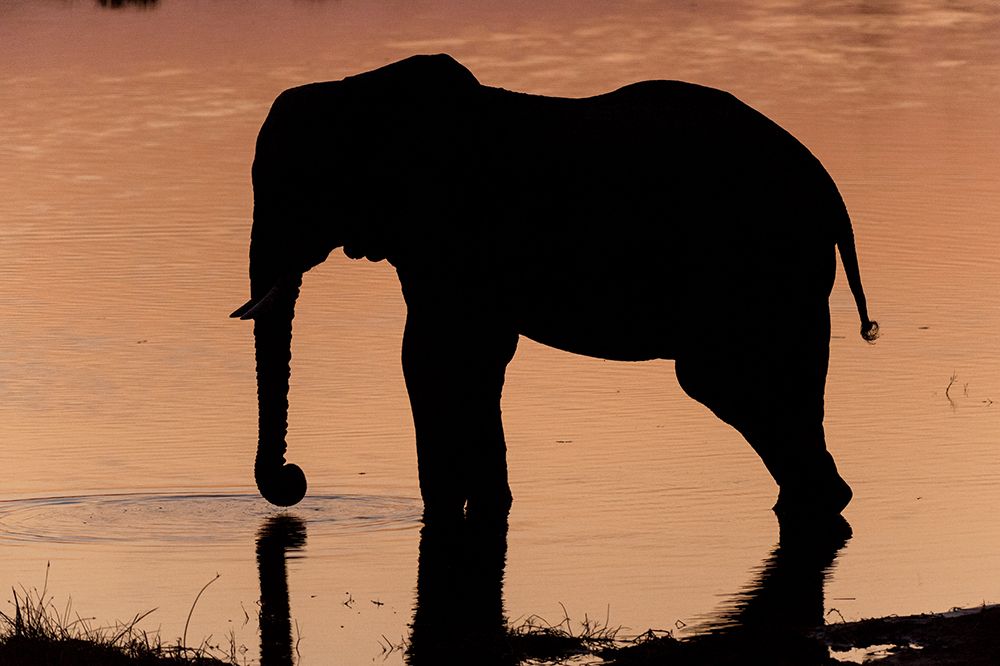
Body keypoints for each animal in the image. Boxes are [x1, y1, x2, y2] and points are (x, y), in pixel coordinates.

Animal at [232, 53, 878, 521]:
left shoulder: (450, 228)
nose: (295, 481)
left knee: (722, 376)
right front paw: (485, 506)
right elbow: (469, 357)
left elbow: (433, 355)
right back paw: (815, 499)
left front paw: (451, 513)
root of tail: (830, 192)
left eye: (301, 186)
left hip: (758, 260)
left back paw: (817, 503)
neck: (357, 91)